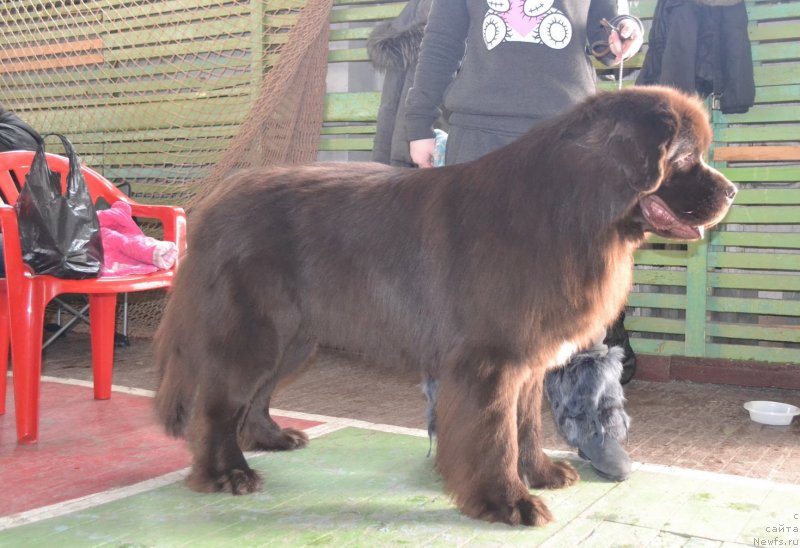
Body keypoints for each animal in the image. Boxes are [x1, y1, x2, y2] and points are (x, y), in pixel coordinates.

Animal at [153, 86, 736, 528]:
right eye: (687, 158)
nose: (731, 191)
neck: (570, 210)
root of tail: (214, 203)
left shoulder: (526, 360)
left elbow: (525, 425)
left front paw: (540, 473)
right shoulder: (489, 362)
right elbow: (495, 435)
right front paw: (508, 503)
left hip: (295, 341)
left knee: (257, 395)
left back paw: (272, 438)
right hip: (254, 333)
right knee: (218, 404)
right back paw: (224, 474)